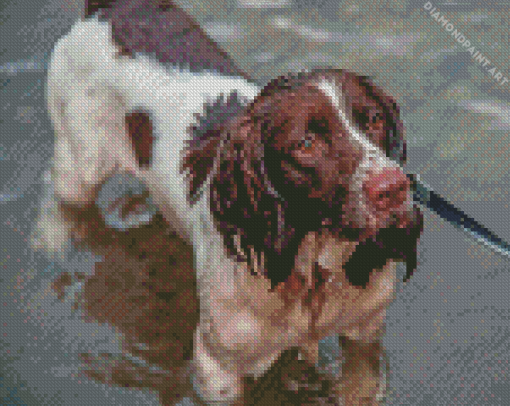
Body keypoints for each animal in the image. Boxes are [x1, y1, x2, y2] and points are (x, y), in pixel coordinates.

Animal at [31, 1, 422, 404]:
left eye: (374, 119)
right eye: (306, 144)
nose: (393, 187)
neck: (309, 271)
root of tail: (109, 8)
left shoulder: (364, 331)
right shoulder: (218, 365)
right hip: (81, 159)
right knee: (60, 199)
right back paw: (50, 246)